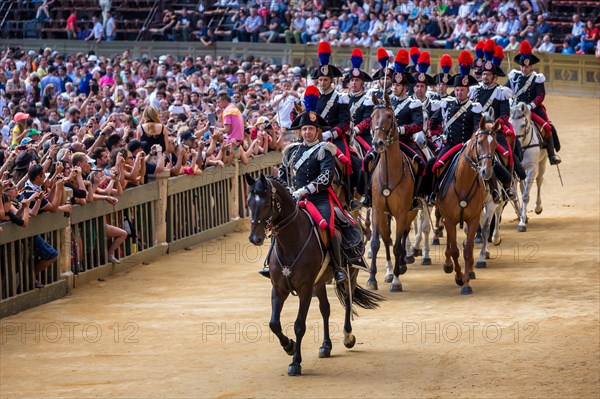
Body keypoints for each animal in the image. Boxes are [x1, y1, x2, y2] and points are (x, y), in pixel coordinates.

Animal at [245, 174, 382, 376]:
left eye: (265, 203)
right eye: (248, 203)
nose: (255, 238)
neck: (291, 241)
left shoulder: (305, 288)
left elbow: (299, 325)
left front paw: (295, 362)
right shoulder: (279, 288)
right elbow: (274, 323)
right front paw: (289, 346)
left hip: (349, 275)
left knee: (348, 303)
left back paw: (348, 336)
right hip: (319, 284)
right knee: (325, 309)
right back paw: (326, 346)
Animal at [366, 94, 418, 294]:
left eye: (389, 116)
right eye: (372, 117)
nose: (378, 143)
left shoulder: (403, 212)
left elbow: (396, 244)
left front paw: (396, 280)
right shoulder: (377, 209)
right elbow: (377, 242)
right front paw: (373, 278)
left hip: (411, 211)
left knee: (402, 235)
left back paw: (402, 264)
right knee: (387, 237)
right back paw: (389, 271)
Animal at [434, 118, 500, 294]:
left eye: (495, 143)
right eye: (480, 142)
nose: (486, 172)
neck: (463, 181)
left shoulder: (473, 219)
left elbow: (468, 250)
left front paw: (466, 282)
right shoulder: (449, 219)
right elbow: (454, 250)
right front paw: (458, 277)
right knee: (450, 243)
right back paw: (448, 264)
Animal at [508, 103, 548, 233]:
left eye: (523, 125)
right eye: (509, 123)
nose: (515, 145)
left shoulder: (532, 167)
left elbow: (525, 196)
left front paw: (522, 223)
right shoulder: (514, 171)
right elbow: (516, 194)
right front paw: (521, 217)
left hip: (543, 162)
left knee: (539, 181)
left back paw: (538, 207)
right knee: (522, 186)